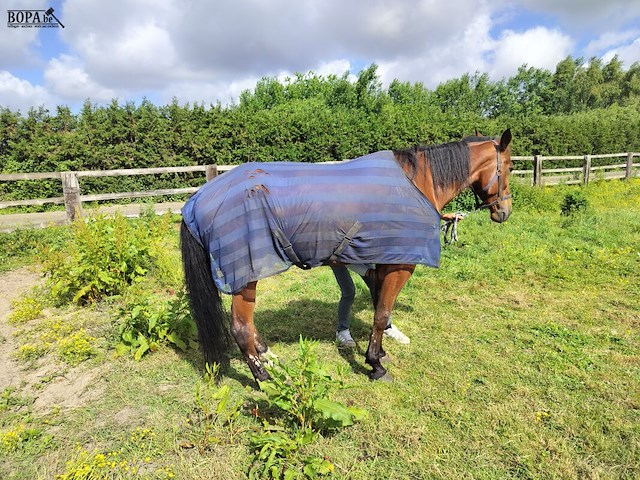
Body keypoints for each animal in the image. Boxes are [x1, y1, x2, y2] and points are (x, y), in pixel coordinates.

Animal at [180, 130, 513, 382]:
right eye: (509, 167)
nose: (504, 212)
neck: (416, 184)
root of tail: (197, 199)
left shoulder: (379, 262)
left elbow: (380, 306)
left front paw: (380, 353)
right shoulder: (400, 265)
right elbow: (381, 314)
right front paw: (375, 365)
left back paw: (268, 358)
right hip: (245, 275)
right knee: (240, 328)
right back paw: (263, 378)